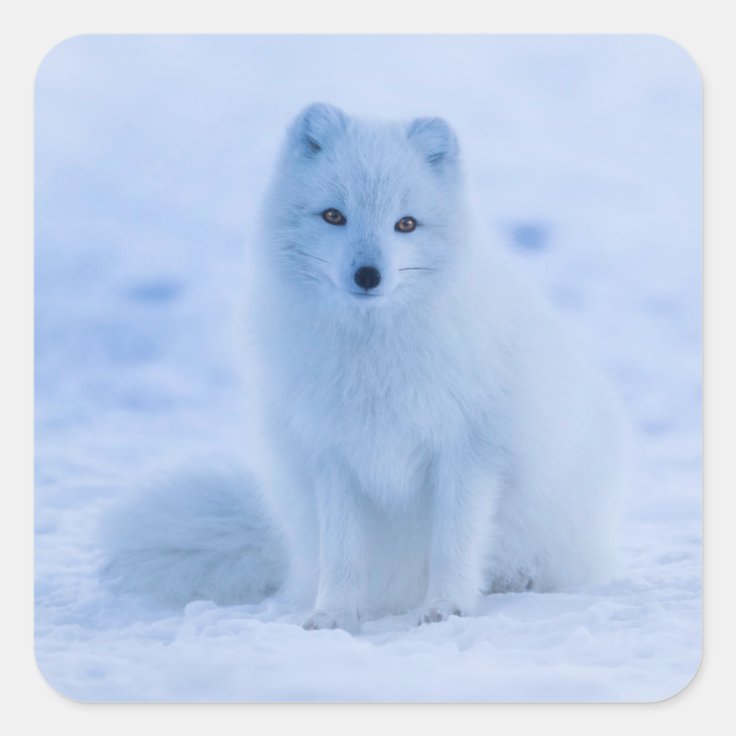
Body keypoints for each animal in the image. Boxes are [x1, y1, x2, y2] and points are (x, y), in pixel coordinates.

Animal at [103, 103, 627, 632]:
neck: (372, 357)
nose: (368, 275)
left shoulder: (469, 452)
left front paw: (447, 608)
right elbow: (342, 554)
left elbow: (454, 543)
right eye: (334, 215)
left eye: (406, 224)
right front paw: (333, 615)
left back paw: (515, 579)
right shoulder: (333, 455)